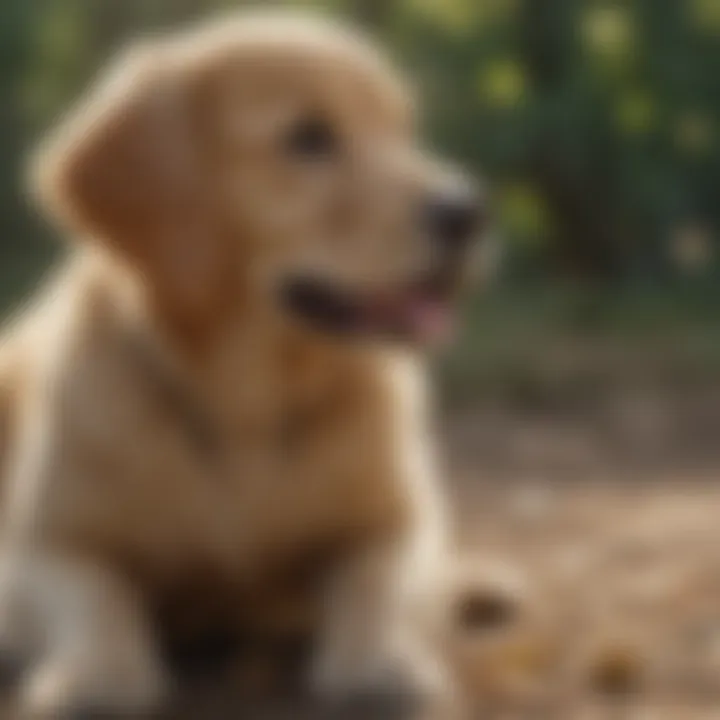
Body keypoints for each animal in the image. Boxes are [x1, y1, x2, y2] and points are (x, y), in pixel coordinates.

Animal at [0, 8, 484, 716]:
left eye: (403, 129)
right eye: (308, 138)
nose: (468, 211)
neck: (244, 406)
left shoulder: (396, 523)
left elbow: (374, 583)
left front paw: (380, 661)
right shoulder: (44, 544)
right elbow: (97, 597)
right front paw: (97, 674)